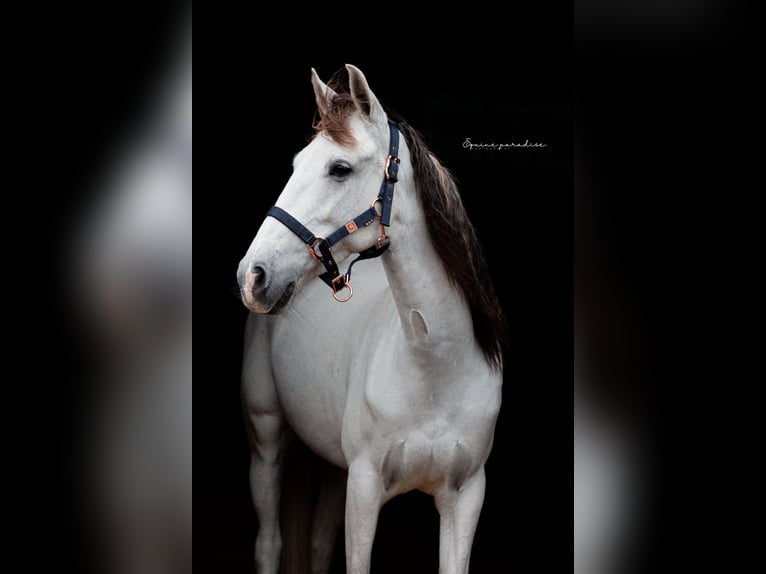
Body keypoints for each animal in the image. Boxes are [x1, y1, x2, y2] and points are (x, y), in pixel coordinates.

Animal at [237, 65, 508, 572]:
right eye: (296, 164)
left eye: (339, 168)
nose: (253, 275)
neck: (433, 364)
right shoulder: (363, 490)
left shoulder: (465, 499)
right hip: (266, 438)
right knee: (268, 542)